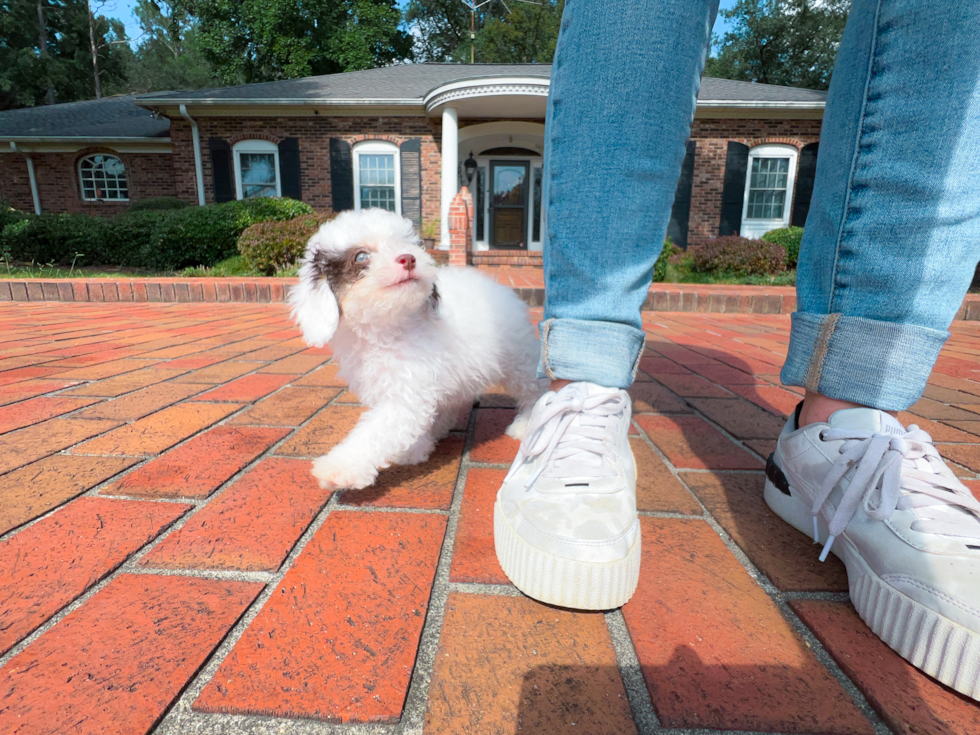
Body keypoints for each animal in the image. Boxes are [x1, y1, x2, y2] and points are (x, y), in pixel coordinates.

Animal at [290, 210, 544, 492]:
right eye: (361, 257)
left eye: (409, 245)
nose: (408, 258)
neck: (389, 327)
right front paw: (416, 449)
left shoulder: (406, 394)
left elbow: (375, 432)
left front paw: (339, 467)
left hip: (518, 359)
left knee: (534, 390)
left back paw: (526, 424)